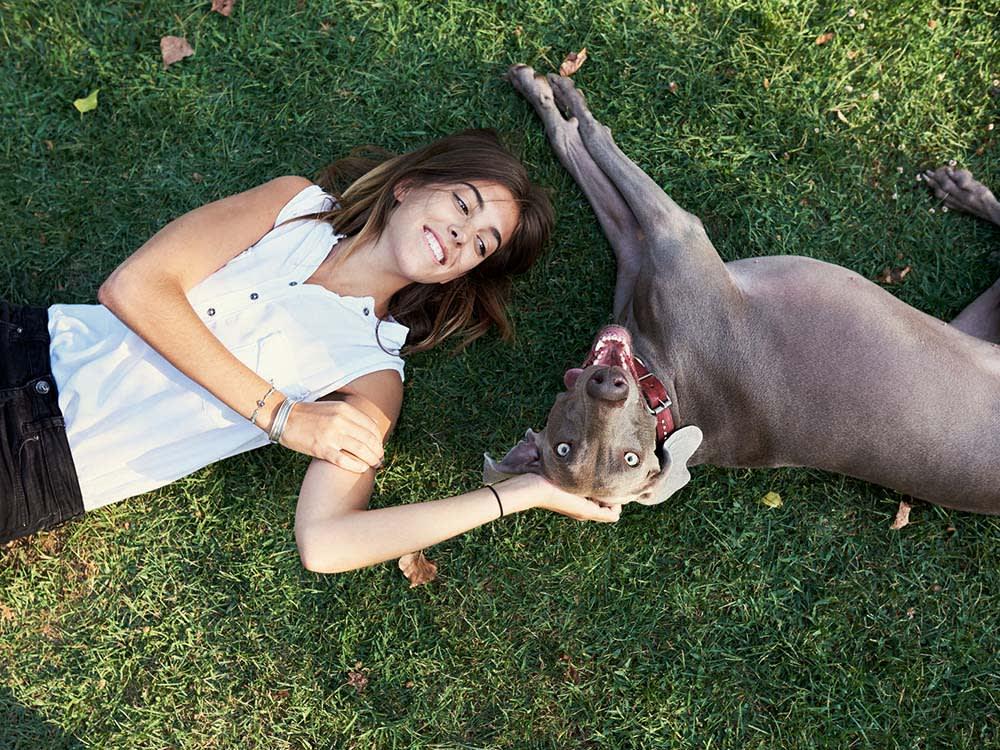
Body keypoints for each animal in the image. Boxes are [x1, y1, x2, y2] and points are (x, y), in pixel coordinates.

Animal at [482, 67, 992, 516]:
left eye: (629, 457)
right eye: (565, 449)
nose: (609, 387)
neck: (665, 385)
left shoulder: (662, 235)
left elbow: (585, 141)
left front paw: (551, 94)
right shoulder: (665, 238)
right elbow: (588, 141)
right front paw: (553, 93)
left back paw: (964, 191)